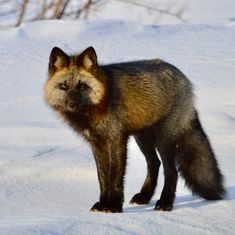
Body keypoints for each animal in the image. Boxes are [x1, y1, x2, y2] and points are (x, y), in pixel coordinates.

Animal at [44, 46, 224, 213]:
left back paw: (165, 203)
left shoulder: (116, 140)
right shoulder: (96, 143)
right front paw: (102, 204)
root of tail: (184, 78)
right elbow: (102, 178)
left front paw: (113, 206)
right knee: (154, 164)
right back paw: (144, 196)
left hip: (162, 139)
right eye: (63, 86)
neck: (97, 107)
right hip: (142, 138)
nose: (71, 104)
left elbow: (115, 178)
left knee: (171, 171)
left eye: (82, 86)